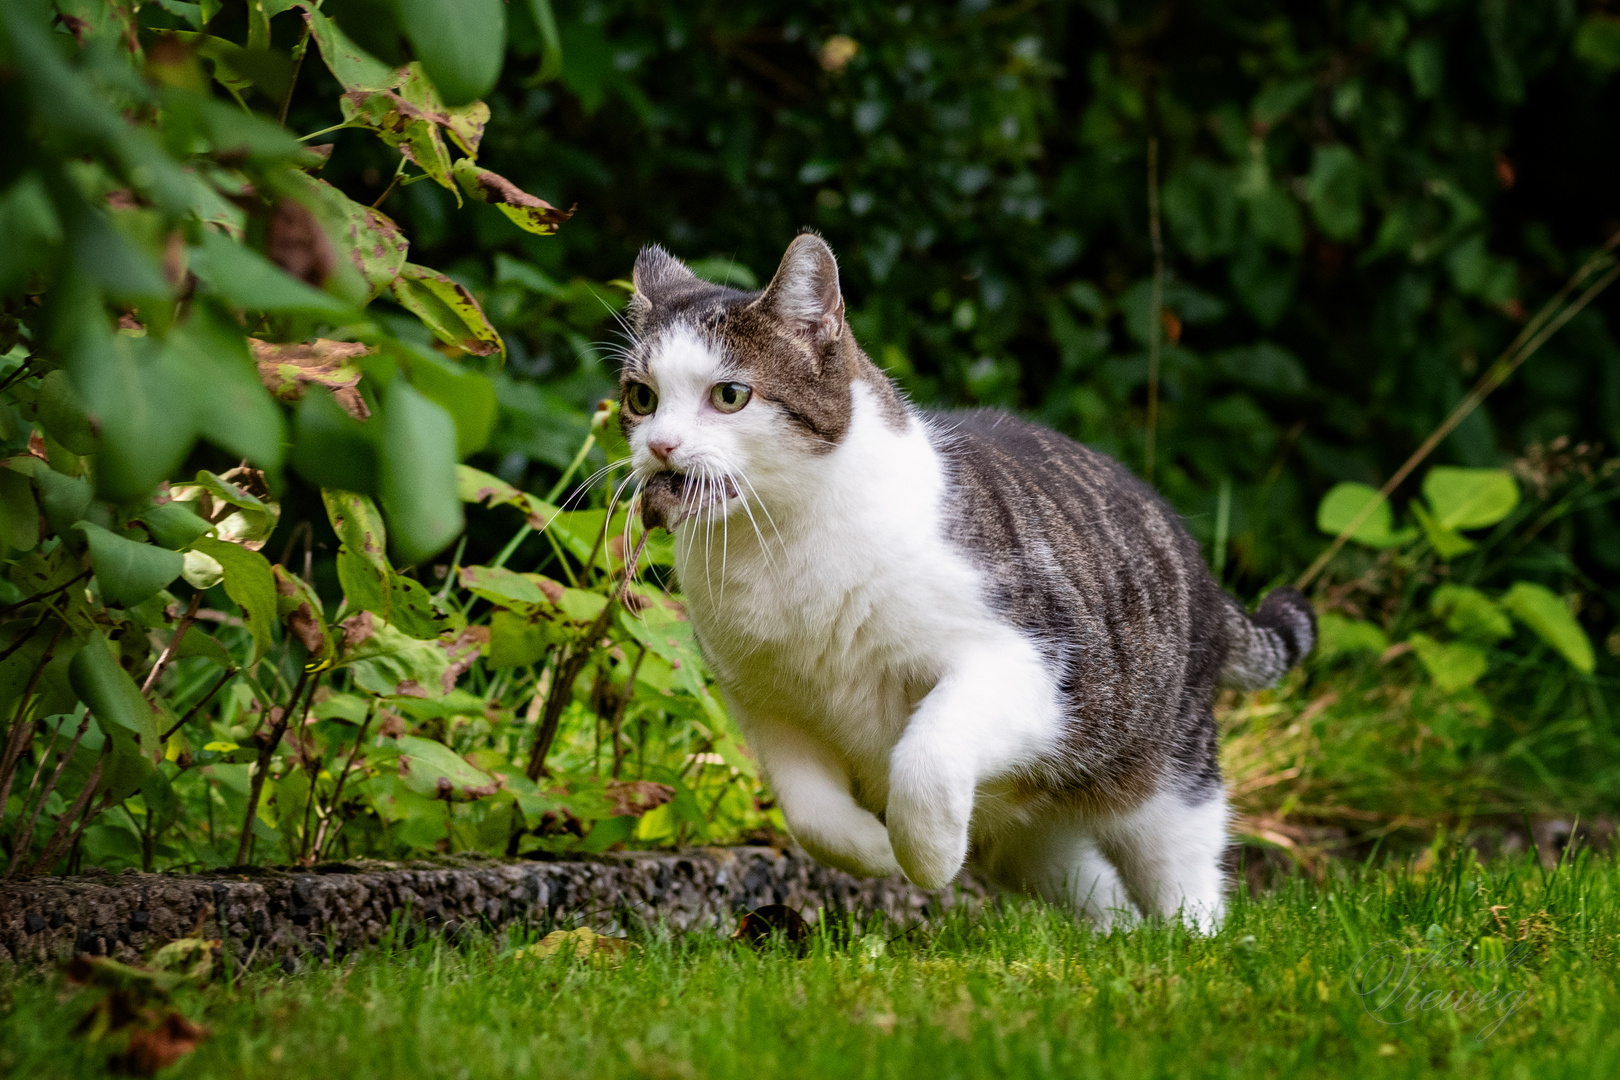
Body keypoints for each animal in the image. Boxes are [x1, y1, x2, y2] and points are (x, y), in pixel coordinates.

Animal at [618, 238, 1315, 939]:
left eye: (730, 395)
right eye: (641, 397)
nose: (661, 445)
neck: (777, 547)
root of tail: (1202, 571)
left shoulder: (1028, 667)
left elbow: (926, 755)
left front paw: (926, 858)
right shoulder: (766, 707)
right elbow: (813, 819)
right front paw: (879, 849)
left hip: (1161, 772)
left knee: (1184, 869)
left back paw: (1191, 943)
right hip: (1028, 845)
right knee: (1096, 890)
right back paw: (1115, 942)